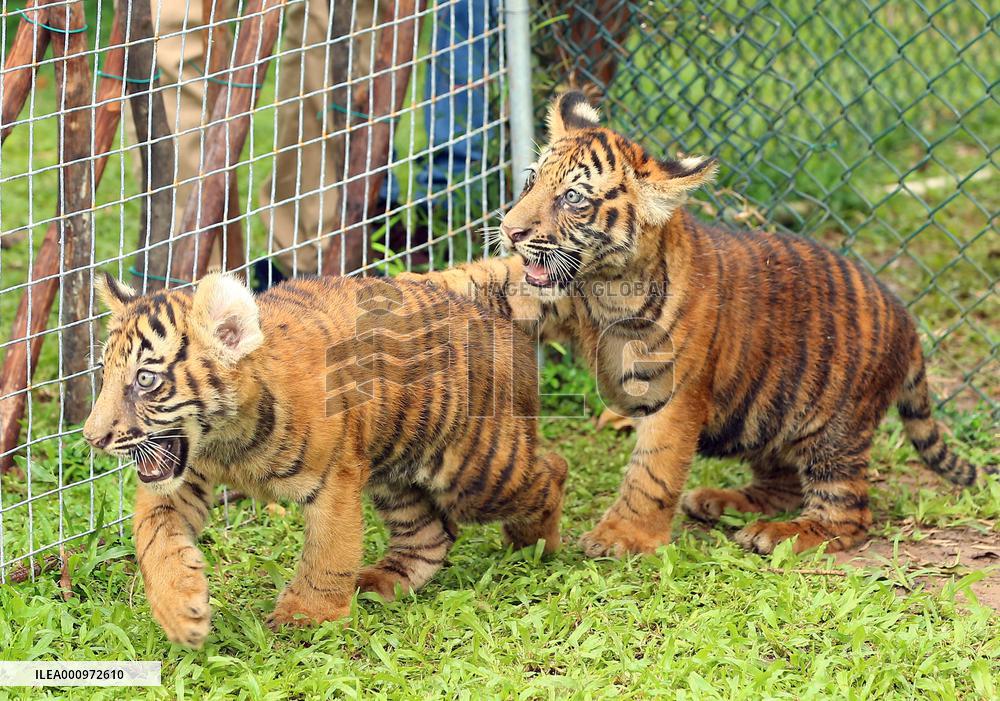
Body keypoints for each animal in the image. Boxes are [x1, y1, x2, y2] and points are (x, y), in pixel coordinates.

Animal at [83, 271, 567, 647]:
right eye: (105, 374)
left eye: (146, 380)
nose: (92, 437)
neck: (226, 441)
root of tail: (491, 317)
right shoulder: (178, 481)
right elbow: (155, 540)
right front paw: (181, 612)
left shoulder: (336, 477)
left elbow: (328, 550)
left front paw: (307, 618)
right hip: (396, 474)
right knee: (429, 534)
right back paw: (380, 583)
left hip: (476, 474)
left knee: (552, 471)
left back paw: (535, 545)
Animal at [399, 89, 990, 559]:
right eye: (531, 182)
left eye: (572, 198)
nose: (510, 229)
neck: (603, 286)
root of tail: (905, 318)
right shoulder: (543, 293)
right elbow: (481, 278)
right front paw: (403, 289)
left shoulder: (675, 390)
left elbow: (652, 469)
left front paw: (622, 537)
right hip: (771, 411)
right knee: (781, 479)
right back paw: (720, 502)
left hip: (835, 430)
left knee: (850, 515)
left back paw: (780, 534)